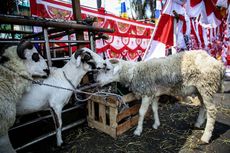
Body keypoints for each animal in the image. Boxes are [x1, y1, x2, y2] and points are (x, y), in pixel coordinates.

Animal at [96, 50, 226, 143]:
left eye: (107, 69)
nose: (96, 81)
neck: (134, 72)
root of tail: (219, 65)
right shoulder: (155, 93)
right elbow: (154, 108)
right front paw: (156, 124)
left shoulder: (147, 93)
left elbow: (142, 112)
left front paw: (138, 130)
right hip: (200, 88)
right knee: (203, 106)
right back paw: (198, 123)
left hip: (207, 86)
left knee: (212, 110)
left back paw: (206, 136)